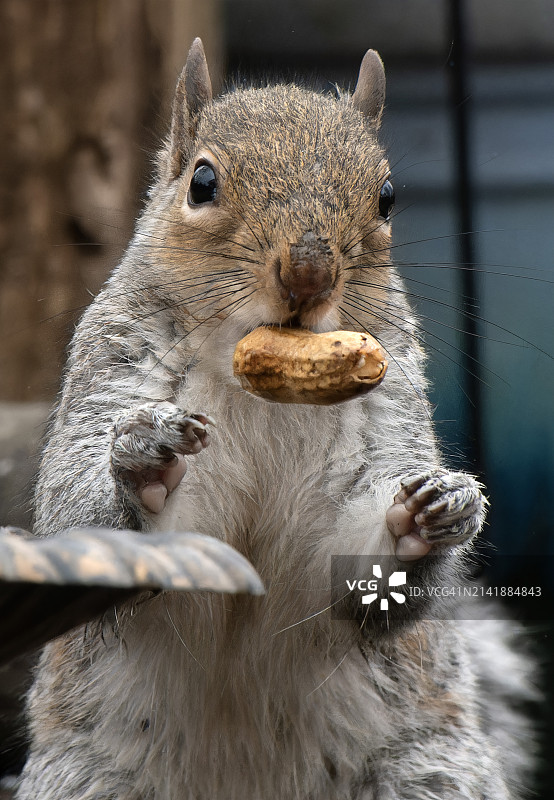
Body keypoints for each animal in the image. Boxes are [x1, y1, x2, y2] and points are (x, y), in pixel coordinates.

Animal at [17, 40, 532, 800]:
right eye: (201, 182)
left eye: (387, 196)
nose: (310, 272)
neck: (261, 382)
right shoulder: (109, 365)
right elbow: (79, 516)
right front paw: (141, 460)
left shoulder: (389, 405)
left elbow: (351, 567)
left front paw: (433, 513)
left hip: (429, 770)